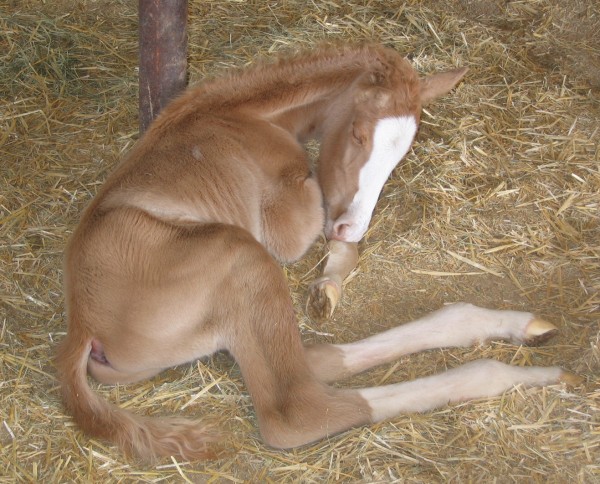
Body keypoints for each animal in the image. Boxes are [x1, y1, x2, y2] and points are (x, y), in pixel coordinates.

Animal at [56, 45, 576, 462]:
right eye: (359, 134)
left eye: (401, 155)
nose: (352, 223)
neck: (245, 116)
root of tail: (82, 326)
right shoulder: (285, 222)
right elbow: (330, 227)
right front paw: (330, 276)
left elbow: (344, 248)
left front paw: (326, 289)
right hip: (238, 253)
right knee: (299, 408)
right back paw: (516, 373)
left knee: (316, 358)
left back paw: (516, 327)